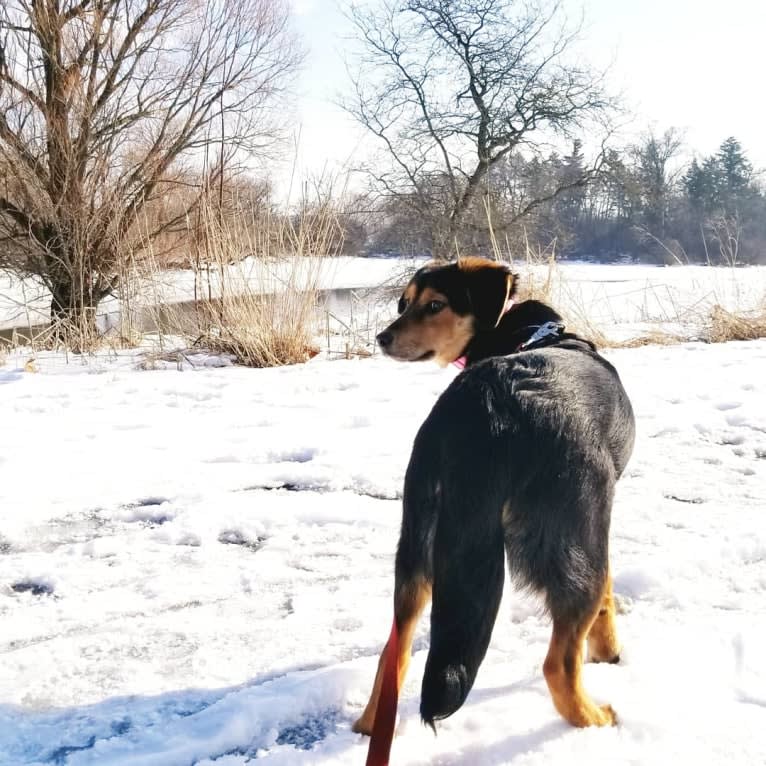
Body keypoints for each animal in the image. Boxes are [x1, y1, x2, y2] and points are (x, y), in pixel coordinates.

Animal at [354, 256, 636, 744]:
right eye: (407, 303)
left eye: (433, 304)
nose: (382, 338)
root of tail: (487, 409)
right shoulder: (599, 522)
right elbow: (607, 596)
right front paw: (609, 650)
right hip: (576, 534)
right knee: (559, 664)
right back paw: (595, 720)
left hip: (417, 541)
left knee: (396, 651)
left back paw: (371, 726)